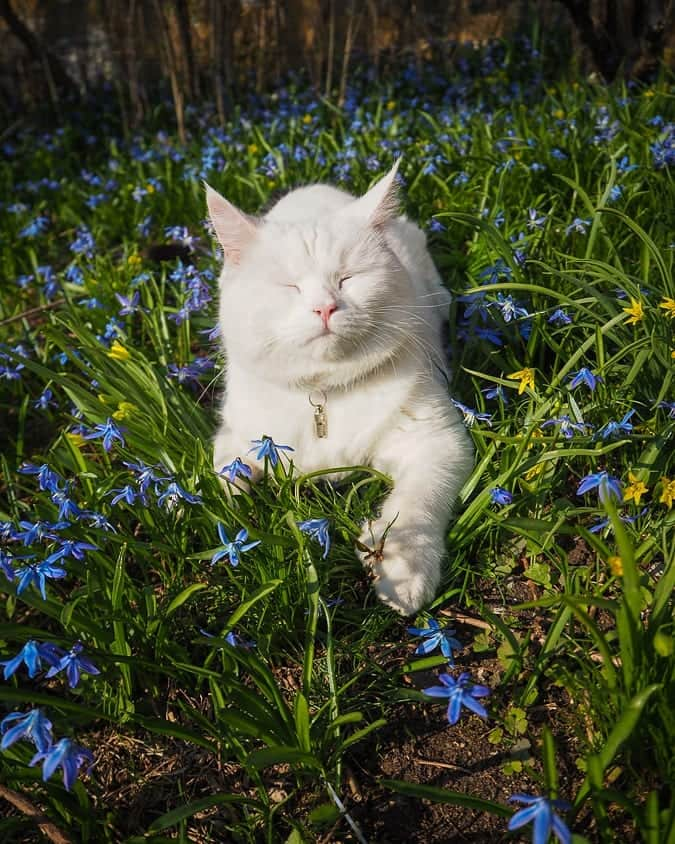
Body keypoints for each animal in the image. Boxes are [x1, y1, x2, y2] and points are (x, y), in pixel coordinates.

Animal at [209, 162, 472, 616]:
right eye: (290, 287)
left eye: (348, 279)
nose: (325, 308)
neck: (325, 393)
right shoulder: (236, 434)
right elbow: (227, 468)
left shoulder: (438, 441)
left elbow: (418, 503)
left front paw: (402, 569)